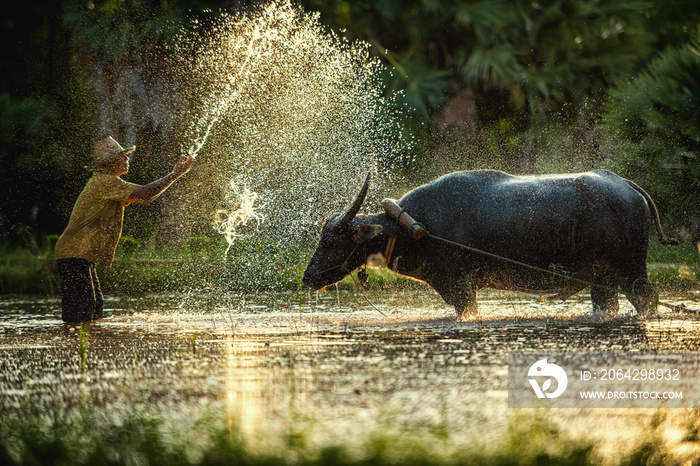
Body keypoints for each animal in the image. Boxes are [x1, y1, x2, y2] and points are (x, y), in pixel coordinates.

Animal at [302, 171, 680, 320]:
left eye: (333, 239)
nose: (307, 278)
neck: (416, 225)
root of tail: (629, 188)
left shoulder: (459, 287)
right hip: (602, 282)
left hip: (632, 274)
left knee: (648, 301)